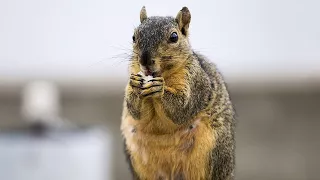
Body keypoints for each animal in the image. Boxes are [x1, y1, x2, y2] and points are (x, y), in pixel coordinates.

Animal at [120, 5, 235, 180]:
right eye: (134, 37)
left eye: (174, 37)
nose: (144, 60)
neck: (163, 75)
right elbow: (137, 112)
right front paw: (135, 86)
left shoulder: (196, 82)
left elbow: (182, 108)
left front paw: (159, 89)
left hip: (213, 152)